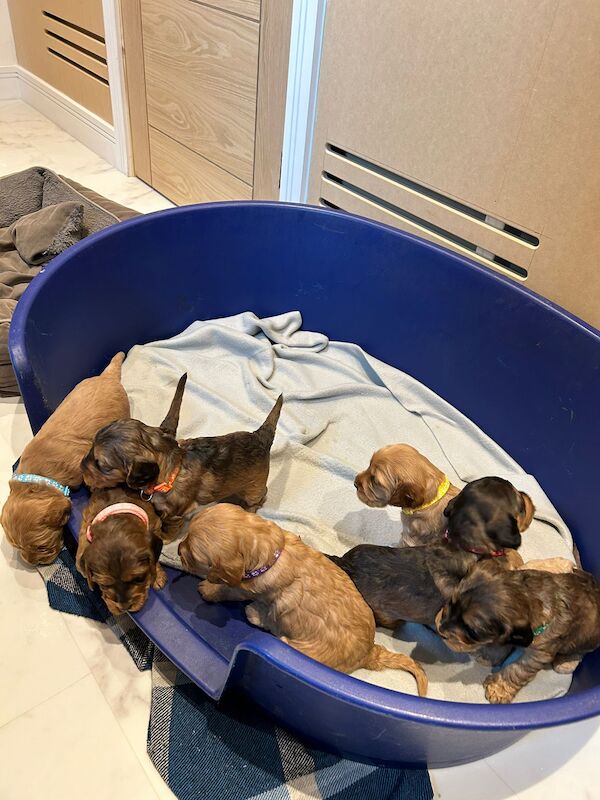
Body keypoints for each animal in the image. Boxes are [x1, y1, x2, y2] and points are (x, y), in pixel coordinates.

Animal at [77, 484, 168, 616]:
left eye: (139, 579)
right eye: (103, 584)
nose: (124, 608)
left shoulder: (155, 524)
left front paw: (157, 577)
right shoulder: (88, 519)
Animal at [177, 506, 426, 692]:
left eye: (193, 553)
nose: (178, 549)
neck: (272, 552)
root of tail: (370, 652)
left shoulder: (247, 587)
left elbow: (228, 589)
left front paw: (209, 588)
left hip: (292, 645)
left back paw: (255, 614)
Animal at [436, 560, 600, 704]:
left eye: (471, 631)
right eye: (451, 603)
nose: (441, 630)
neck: (529, 595)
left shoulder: (538, 653)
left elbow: (516, 670)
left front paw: (498, 689)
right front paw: (488, 654)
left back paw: (565, 662)